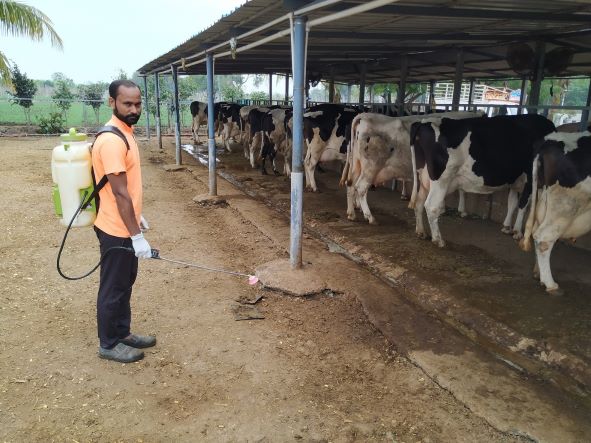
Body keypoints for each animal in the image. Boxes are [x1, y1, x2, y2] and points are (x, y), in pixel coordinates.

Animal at [410, 114, 556, 248]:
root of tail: (424, 122)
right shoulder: (530, 178)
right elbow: (523, 205)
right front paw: (517, 232)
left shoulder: (514, 181)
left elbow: (512, 203)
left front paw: (507, 227)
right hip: (442, 179)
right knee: (431, 206)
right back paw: (438, 240)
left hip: (424, 177)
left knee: (419, 202)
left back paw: (421, 232)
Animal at [524, 131, 591, 294]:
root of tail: (548, 141)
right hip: (566, 205)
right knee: (543, 237)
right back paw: (550, 284)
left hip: (545, 201)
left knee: (536, 231)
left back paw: (538, 273)